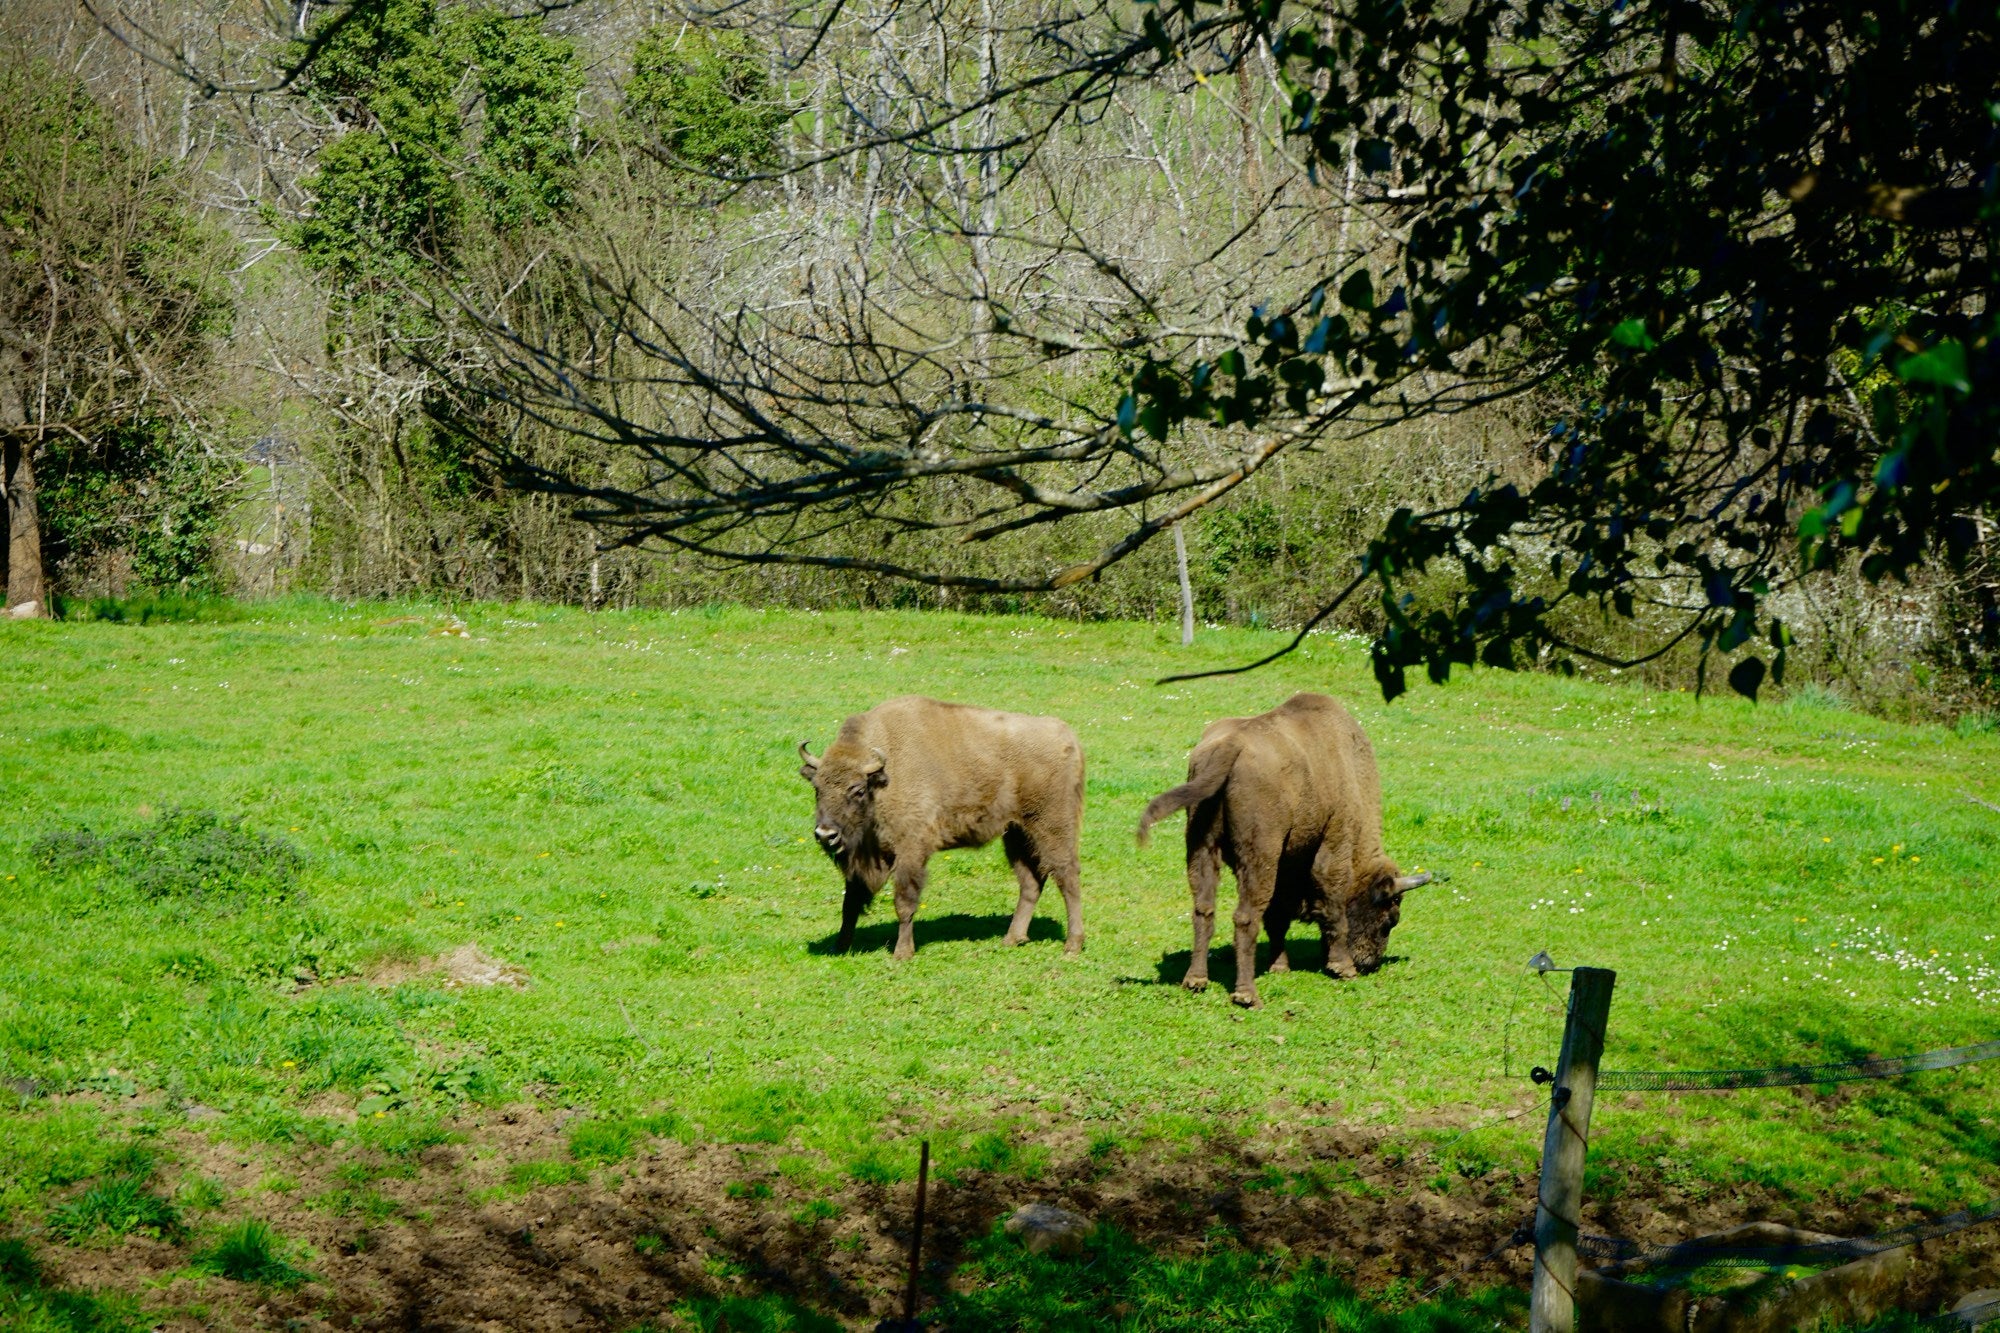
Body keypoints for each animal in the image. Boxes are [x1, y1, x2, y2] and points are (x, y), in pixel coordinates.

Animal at [796, 696, 1088, 956]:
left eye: (857, 790)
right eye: (817, 788)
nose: (825, 834)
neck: (886, 777)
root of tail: (1069, 738)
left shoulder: (911, 851)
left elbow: (904, 902)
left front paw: (903, 952)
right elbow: (850, 903)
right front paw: (840, 947)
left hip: (1052, 826)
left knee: (1067, 876)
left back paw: (1072, 946)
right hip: (1016, 833)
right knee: (1031, 881)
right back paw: (1012, 939)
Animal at [1136, 688, 1432, 1000]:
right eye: (1390, 918)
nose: (1369, 963)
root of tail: (1230, 747)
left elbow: (1277, 917)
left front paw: (1280, 966)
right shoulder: (1335, 841)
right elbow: (1333, 906)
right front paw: (1343, 968)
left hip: (1202, 848)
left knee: (1204, 909)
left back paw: (1196, 980)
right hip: (1258, 857)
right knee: (1245, 917)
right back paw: (1247, 996)